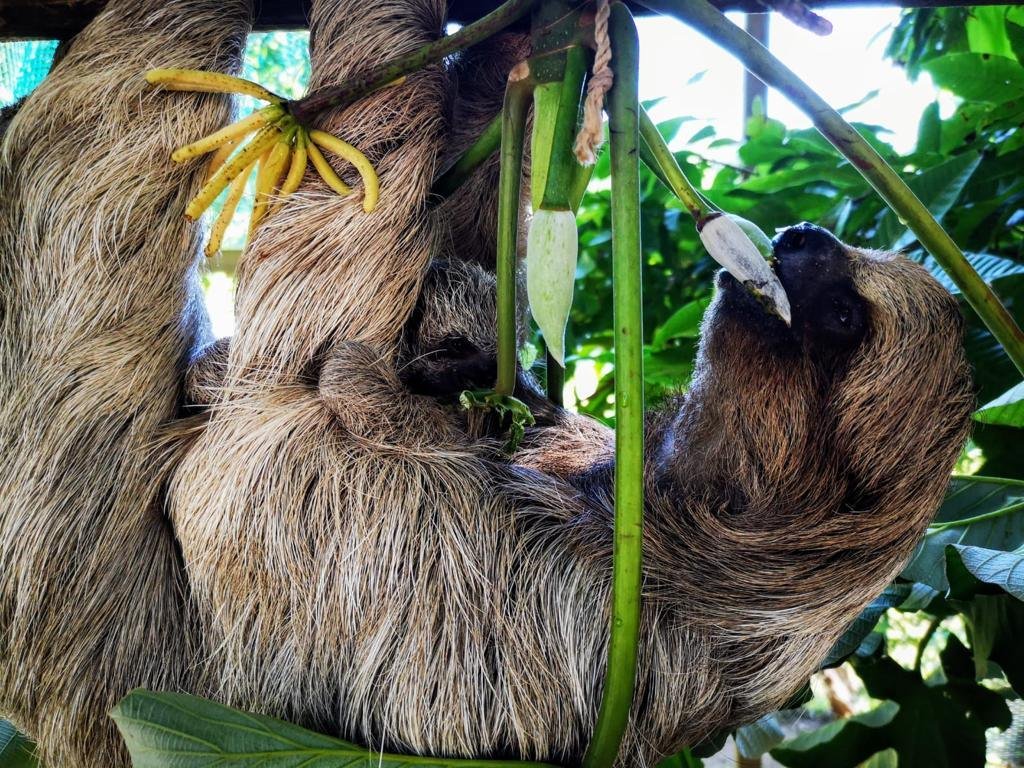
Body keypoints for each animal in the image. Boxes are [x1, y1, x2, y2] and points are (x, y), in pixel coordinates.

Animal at [0, 0, 973, 767]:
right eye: (844, 274)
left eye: (845, 319)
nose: (805, 236)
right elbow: (473, 231)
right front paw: (544, 37)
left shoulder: (462, 572)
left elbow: (304, 336)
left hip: (68, 526)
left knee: (104, 159)